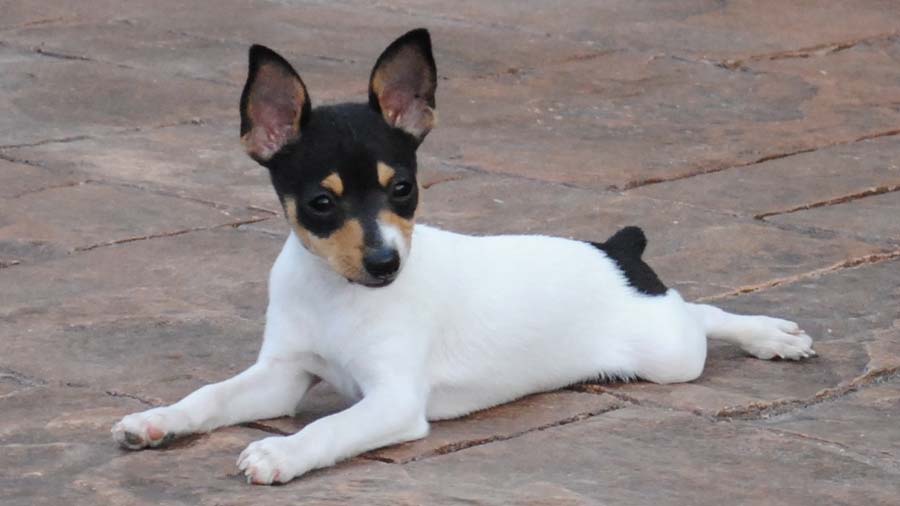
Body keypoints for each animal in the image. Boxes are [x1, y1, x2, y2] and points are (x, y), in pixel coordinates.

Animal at [112, 29, 816, 484]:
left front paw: (280, 456)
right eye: (321, 202)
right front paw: (157, 420)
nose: (385, 264)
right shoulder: (281, 378)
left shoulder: (394, 402)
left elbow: (326, 428)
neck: (339, 295)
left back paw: (772, 336)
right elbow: (209, 396)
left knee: (699, 313)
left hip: (669, 354)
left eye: (403, 189)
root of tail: (617, 251)